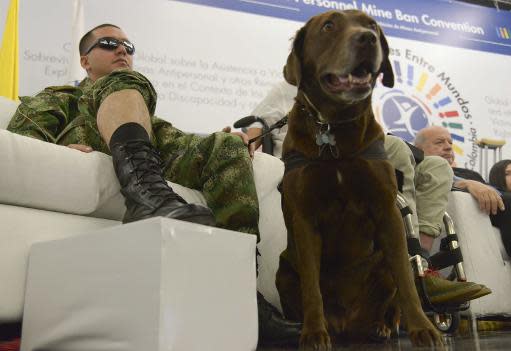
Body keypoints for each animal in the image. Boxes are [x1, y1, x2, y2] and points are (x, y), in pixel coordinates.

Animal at [276, 9, 444, 350]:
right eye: (328, 26)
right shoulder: (304, 218)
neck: (333, 126)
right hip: (283, 268)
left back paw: (384, 326)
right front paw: (313, 334)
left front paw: (424, 329)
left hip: (386, 259)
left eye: (373, 26)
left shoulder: (387, 211)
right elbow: (311, 285)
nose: (367, 39)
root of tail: (347, 324)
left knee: (396, 287)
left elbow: (407, 284)